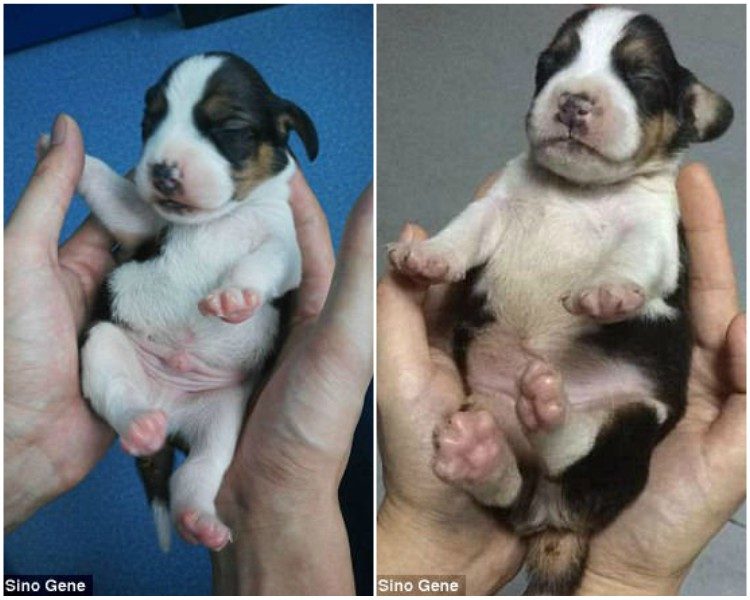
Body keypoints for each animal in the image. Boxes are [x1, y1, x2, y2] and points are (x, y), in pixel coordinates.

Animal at [56, 52, 318, 552]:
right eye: (149, 122)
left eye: (230, 128)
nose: (161, 170)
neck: (216, 219)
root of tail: (167, 405)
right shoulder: (139, 222)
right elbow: (113, 190)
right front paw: (66, 154)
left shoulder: (285, 248)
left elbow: (263, 261)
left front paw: (236, 295)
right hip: (104, 342)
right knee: (118, 392)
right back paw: (141, 425)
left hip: (221, 419)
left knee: (195, 474)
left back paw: (198, 519)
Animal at [390, 7, 736, 592]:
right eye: (551, 63)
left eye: (641, 77)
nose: (574, 100)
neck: (578, 191)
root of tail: (555, 526)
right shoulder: (496, 206)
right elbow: (465, 229)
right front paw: (430, 255)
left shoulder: (655, 234)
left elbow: (633, 259)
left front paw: (607, 290)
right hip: (483, 407)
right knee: (516, 490)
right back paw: (480, 453)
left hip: (633, 430)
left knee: (577, 459)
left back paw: (550, 409)